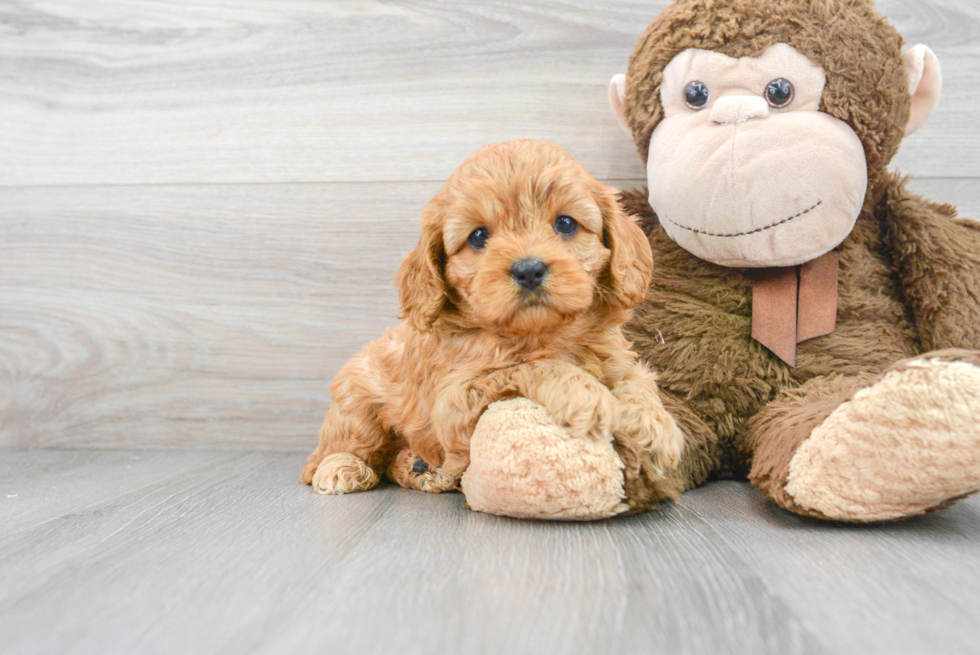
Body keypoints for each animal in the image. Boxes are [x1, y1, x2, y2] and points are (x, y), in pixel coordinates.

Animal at [300, 140, 680, 498]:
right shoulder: (453, 401)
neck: (539, 333)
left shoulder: (619, 360)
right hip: (356, 399)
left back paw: (421, 469)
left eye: (566, 223)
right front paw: (585, 394)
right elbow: (532, 366)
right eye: (479, 236)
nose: (529, 270)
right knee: (338, 452)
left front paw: (654, 426)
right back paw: (342, 469)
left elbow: (637, 383)